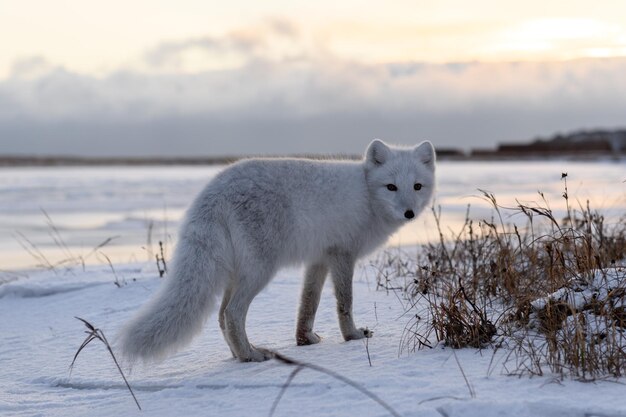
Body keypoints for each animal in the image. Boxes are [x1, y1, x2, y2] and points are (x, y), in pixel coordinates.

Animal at [119, 139, 436, 360]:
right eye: (391, 187)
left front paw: (305, 340)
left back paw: (238, 354)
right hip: (260, 271)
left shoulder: (319, 259)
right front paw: (353, 337)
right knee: (232, 314)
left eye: (417, 186)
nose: (409, 213)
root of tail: (211, 192)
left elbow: (308, 304)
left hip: (238, 273)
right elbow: (344, 303)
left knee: (221, 317)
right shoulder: (342, 255)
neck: (367, 195)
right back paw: (250, 356)